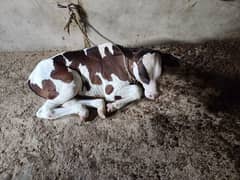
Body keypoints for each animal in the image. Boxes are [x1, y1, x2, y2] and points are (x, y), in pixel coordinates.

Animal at [27, 43, 178, 120]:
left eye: (160, 73)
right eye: (143, 74)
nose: (155, 95)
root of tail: (31, 77)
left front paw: (113, 106)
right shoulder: (110, 89)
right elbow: (138, 90)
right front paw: (114, 104)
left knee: (72, 101)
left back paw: (94, 108)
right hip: (71, 80)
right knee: (45, 111)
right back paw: (84, 110)